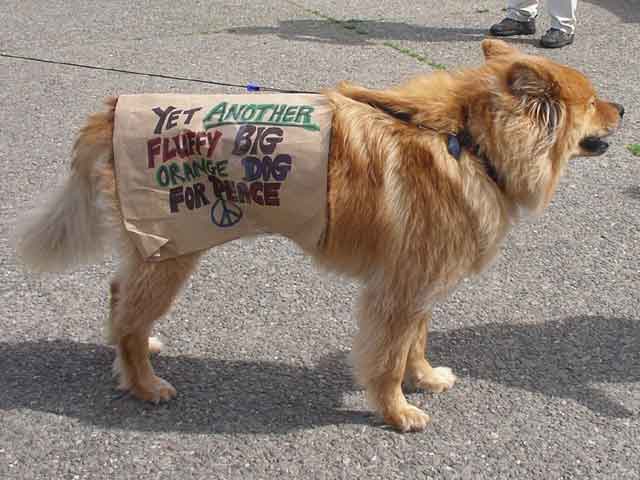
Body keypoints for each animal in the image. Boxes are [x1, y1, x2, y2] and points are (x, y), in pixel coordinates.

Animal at [15, 40, 623, 432]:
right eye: (593, 100)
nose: (622, 105)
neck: (467, 139)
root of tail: (111, 108)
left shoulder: (421, 281)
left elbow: (416, 343)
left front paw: (424, 378)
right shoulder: (398, 291)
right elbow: (387, 359)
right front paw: (396, 411)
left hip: (156, 251)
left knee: (120, 298)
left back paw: (138, 353)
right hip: (172, 251)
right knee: (129, 314)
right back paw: (144, 382)